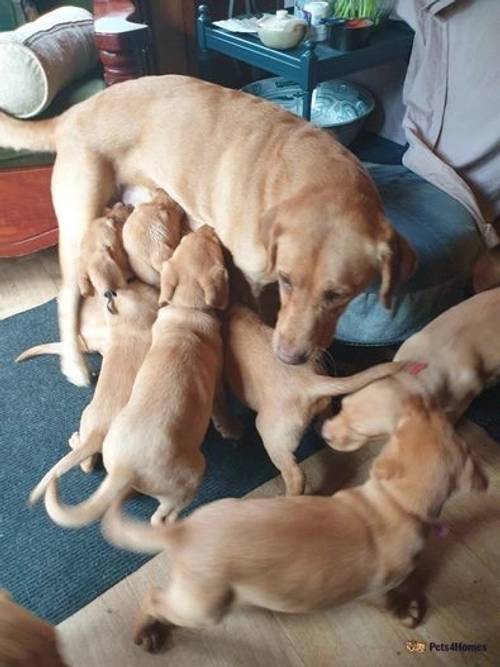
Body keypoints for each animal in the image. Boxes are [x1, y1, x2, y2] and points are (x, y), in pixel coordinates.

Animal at [0, 75, 418, 386]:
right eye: (287, 280)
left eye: (339, 295)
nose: (288, 357)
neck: (313, 178)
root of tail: (71, 113)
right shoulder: (253, 280)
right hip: (78, 220)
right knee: (65, 295)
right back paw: (74, 364)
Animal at [42, 227, 229, 528]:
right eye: (215, 248)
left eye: (186, 241)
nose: (207, 229)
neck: (186, 308)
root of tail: (124, 470)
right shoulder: (218, 379)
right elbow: (222, 404)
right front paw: (233, 429)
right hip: (191, 475)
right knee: (161, 517)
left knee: (86, 463)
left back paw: (76, 442)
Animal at [101, 396, 488, 652]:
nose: (420, 399)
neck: (395, 502)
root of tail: (183, 530)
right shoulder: (381, 586)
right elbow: (391, 599)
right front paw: (407, 612)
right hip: (203, 607)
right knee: (154, 598)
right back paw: (146, 631)